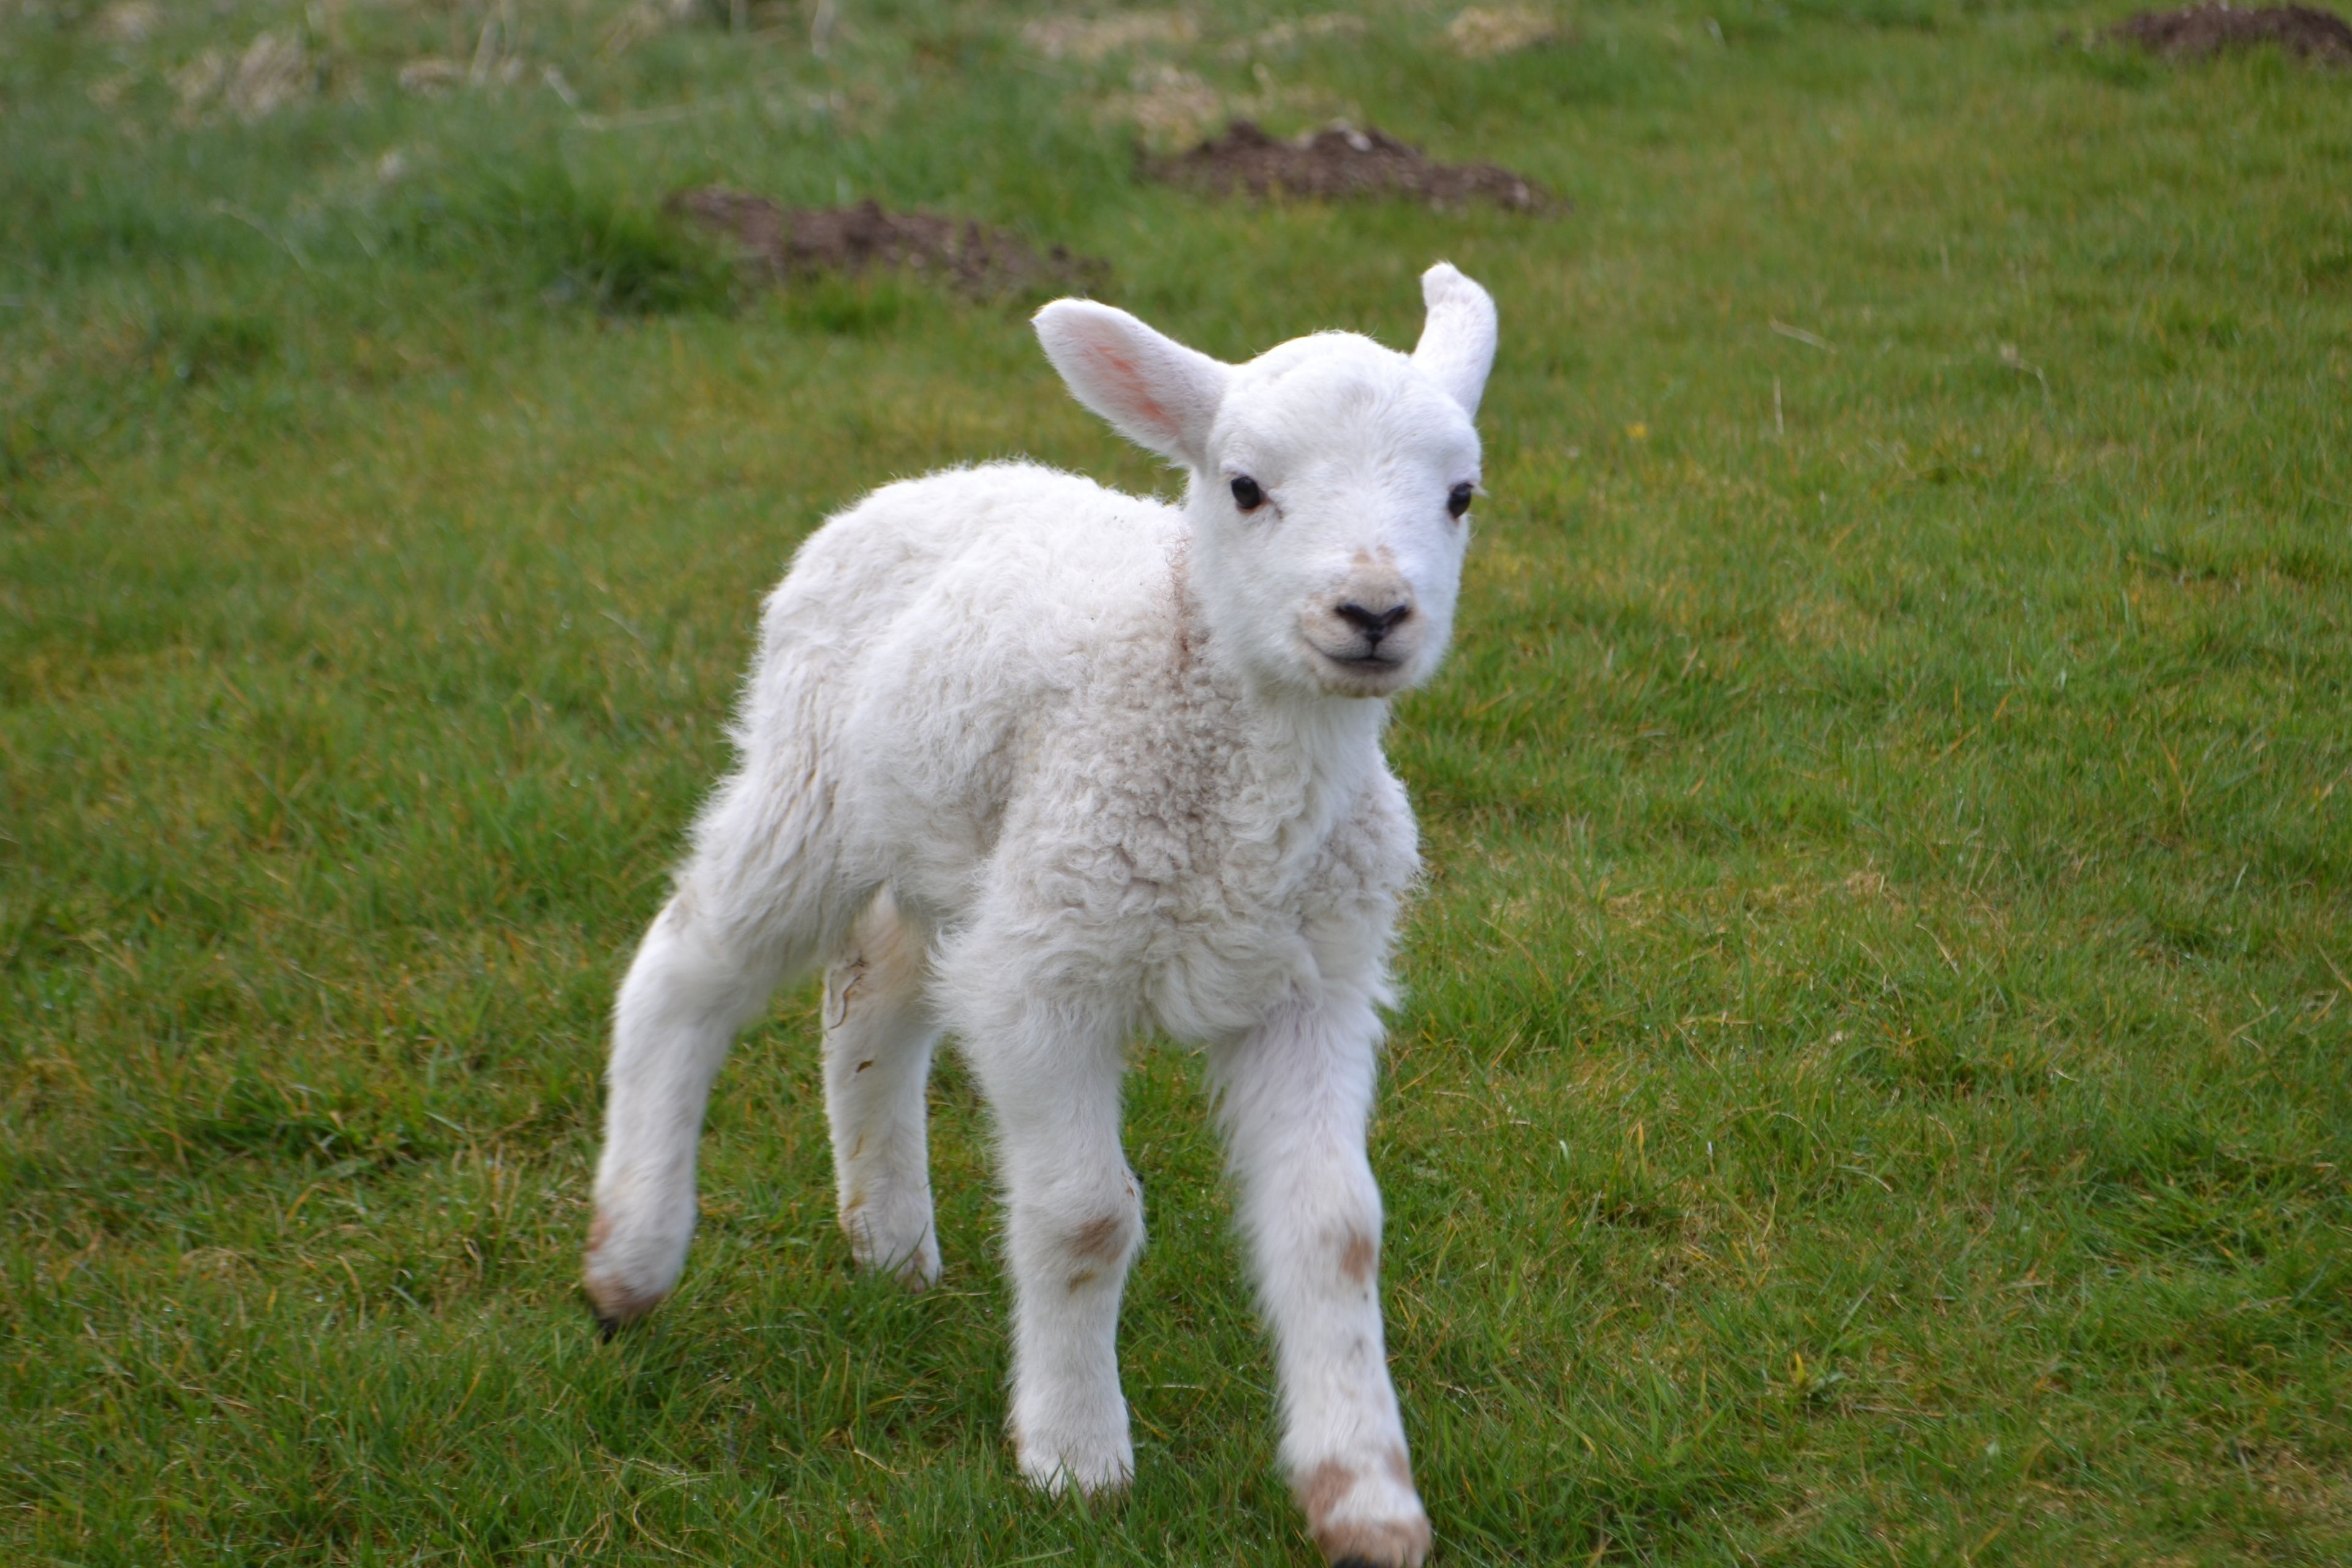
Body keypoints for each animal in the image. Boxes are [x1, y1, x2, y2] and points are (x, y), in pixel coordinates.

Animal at [582, 263, 1497, 1568]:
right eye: (1246, 486)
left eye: (1460, 496)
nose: (1372, 612)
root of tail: (936, 478)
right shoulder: (1049, 976)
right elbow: (1083, 1219)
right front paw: (1075, 1460)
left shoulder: (1312, 984)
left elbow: (1337, 1230)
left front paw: (1365, 1497)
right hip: (812, 784)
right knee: (686, 970)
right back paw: (632, 1262)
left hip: (958, 849)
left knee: (874, 989)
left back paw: (888, 1241)